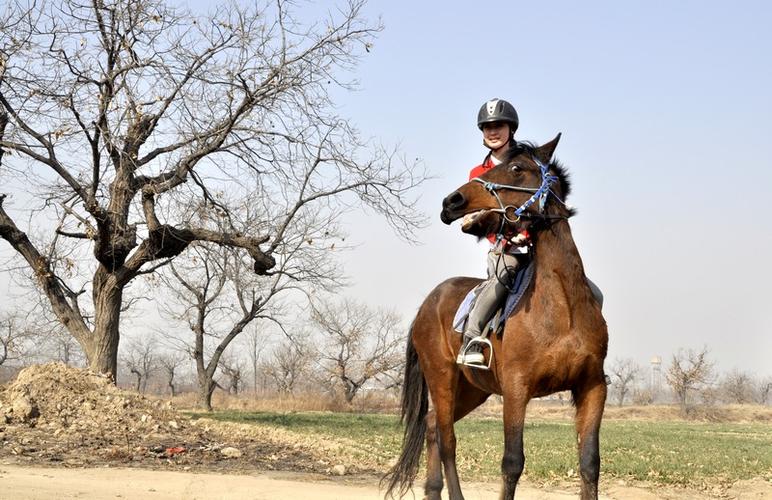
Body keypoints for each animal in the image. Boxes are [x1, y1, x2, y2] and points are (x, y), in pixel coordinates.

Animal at [383, 134, 608, 500]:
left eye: (516, 168)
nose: (451, 201)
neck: (563, 308)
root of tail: (427, 303)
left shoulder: (592, 387)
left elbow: (589, 463)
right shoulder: (516, 388)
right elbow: (512, 462)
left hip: (473, 389)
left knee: (432, 427)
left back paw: (433, 490)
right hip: (442, 377)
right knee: (446, 439)